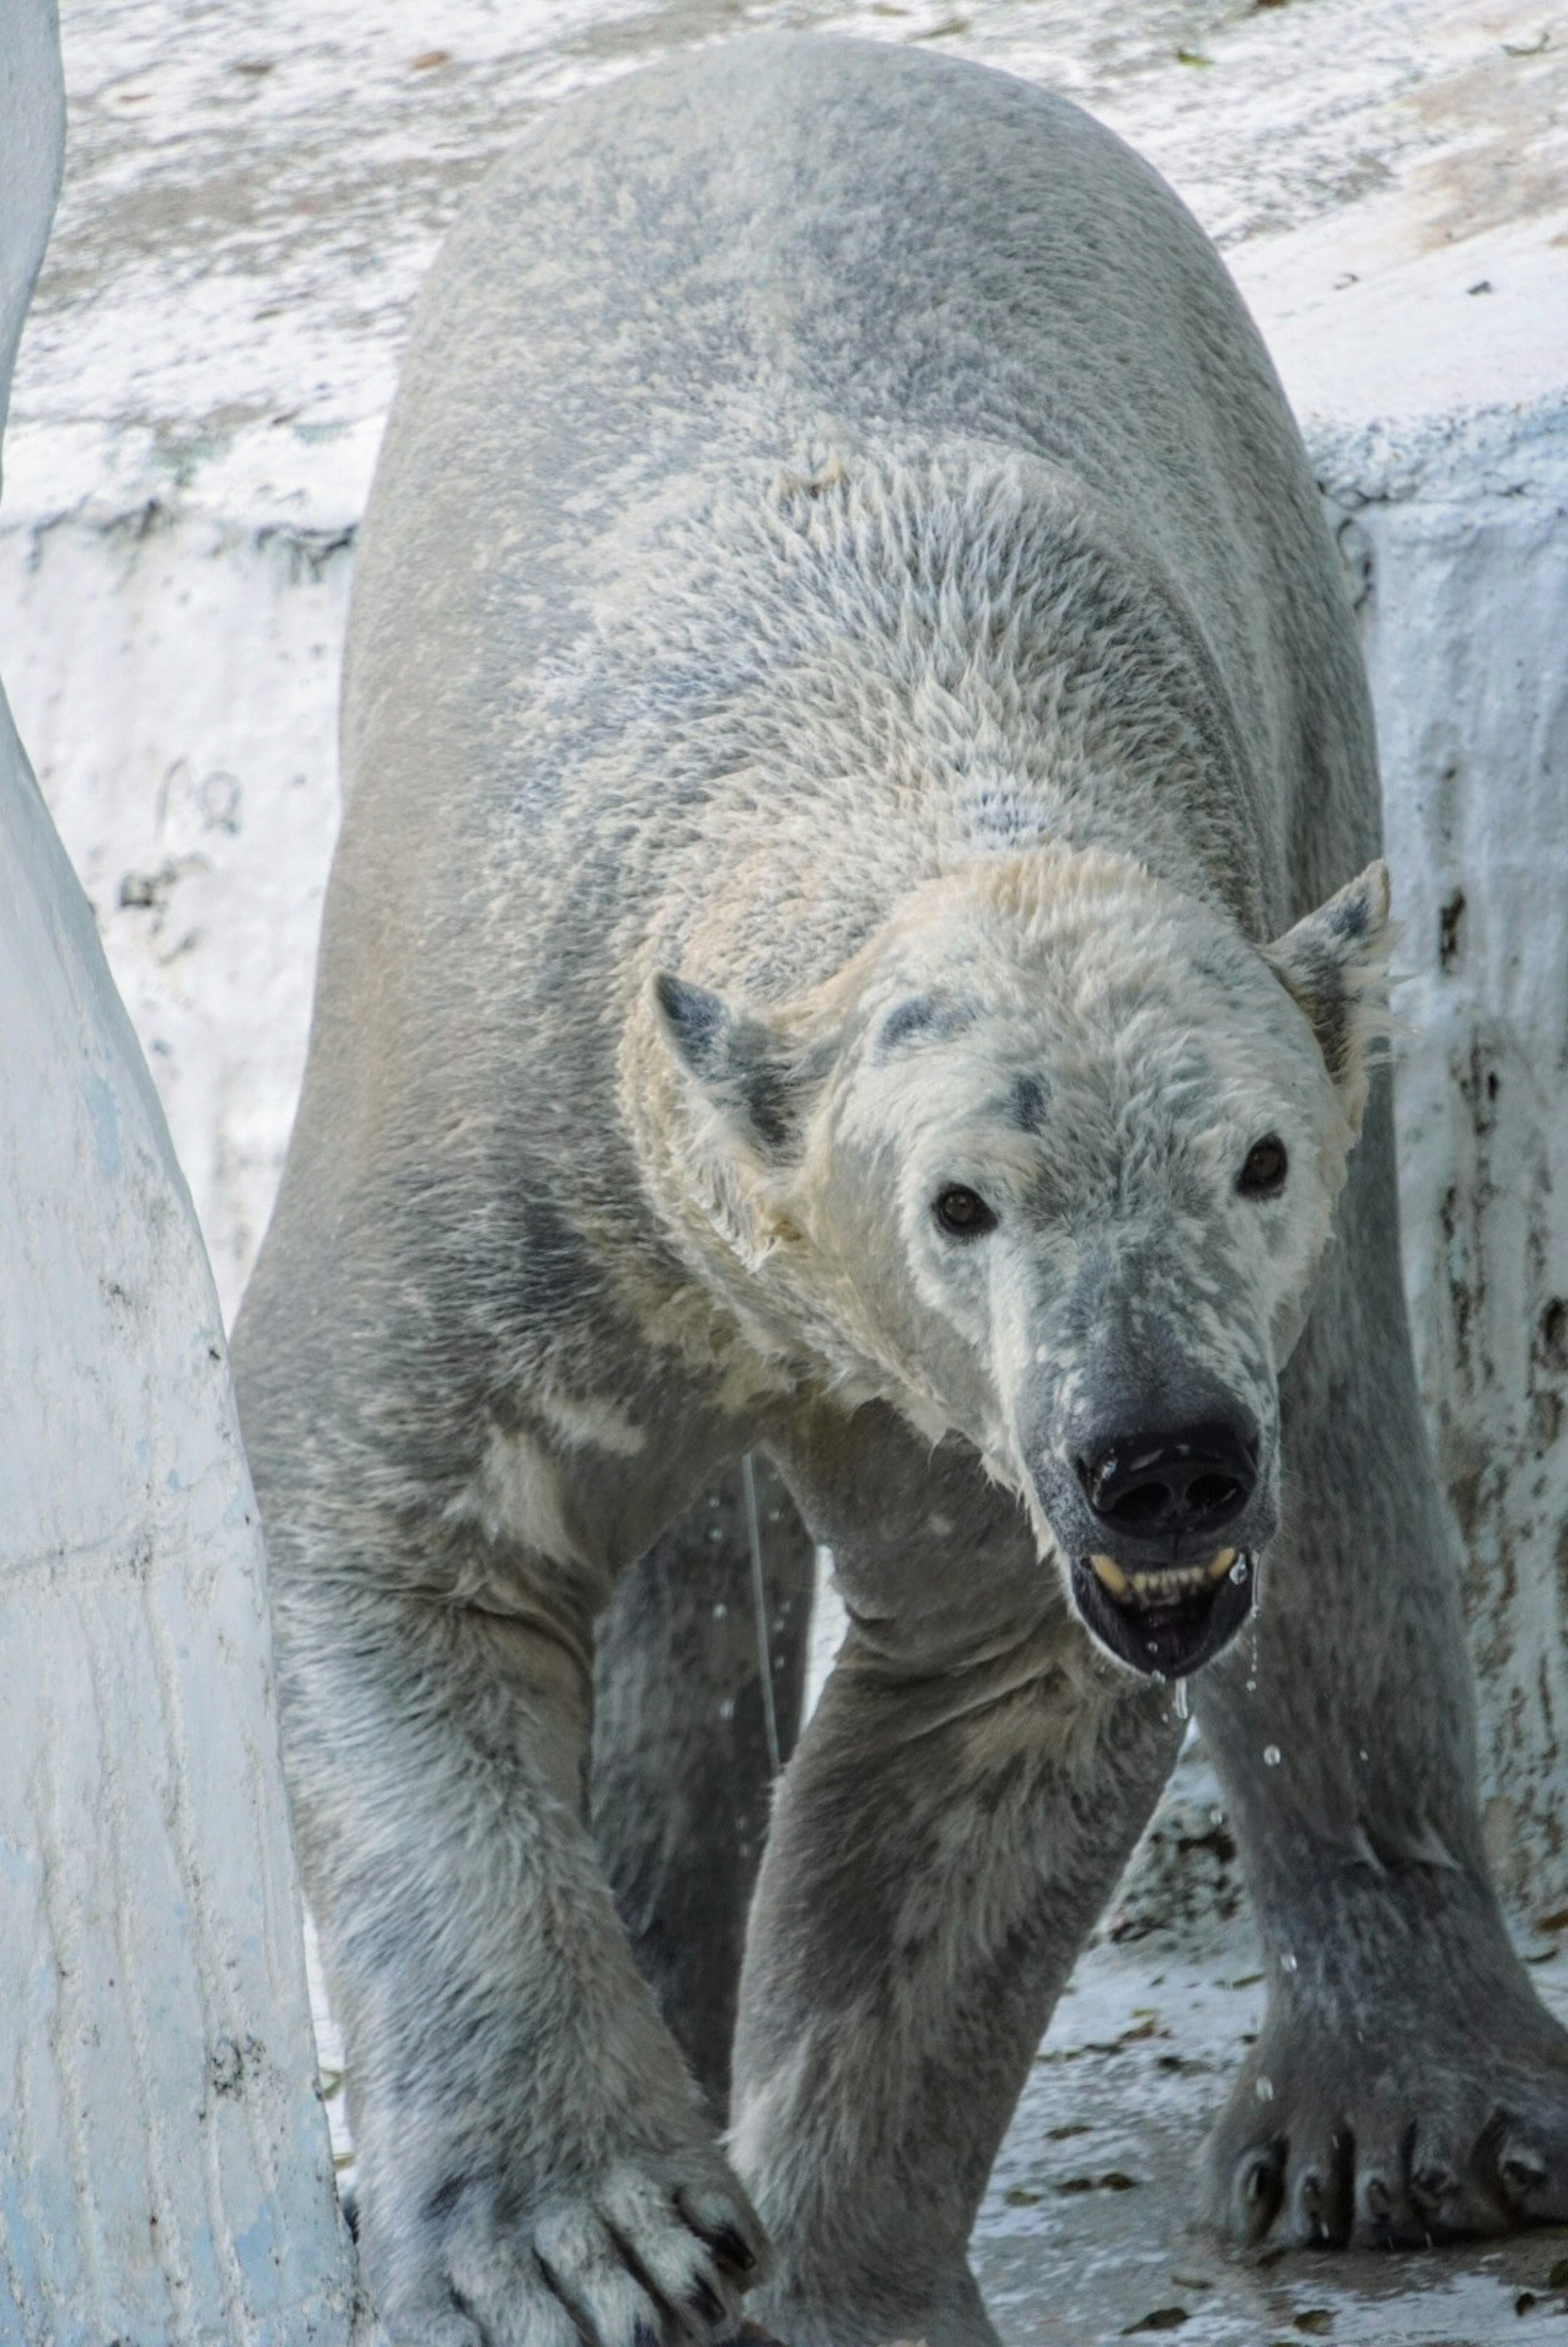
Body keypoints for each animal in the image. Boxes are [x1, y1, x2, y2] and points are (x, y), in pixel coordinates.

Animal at [236, 36, 1568, 2347]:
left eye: (1251, 1157)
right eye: (962, 1201)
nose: (1158, 1457)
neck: (884, 709)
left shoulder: (1014, 1406)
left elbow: (975, 1726)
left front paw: (824, 2264)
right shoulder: (504, 1127)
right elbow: (415, 1538)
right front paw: (582, 2240)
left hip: (1300, 666)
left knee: (1340, 1461)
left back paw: (1393, 2125)